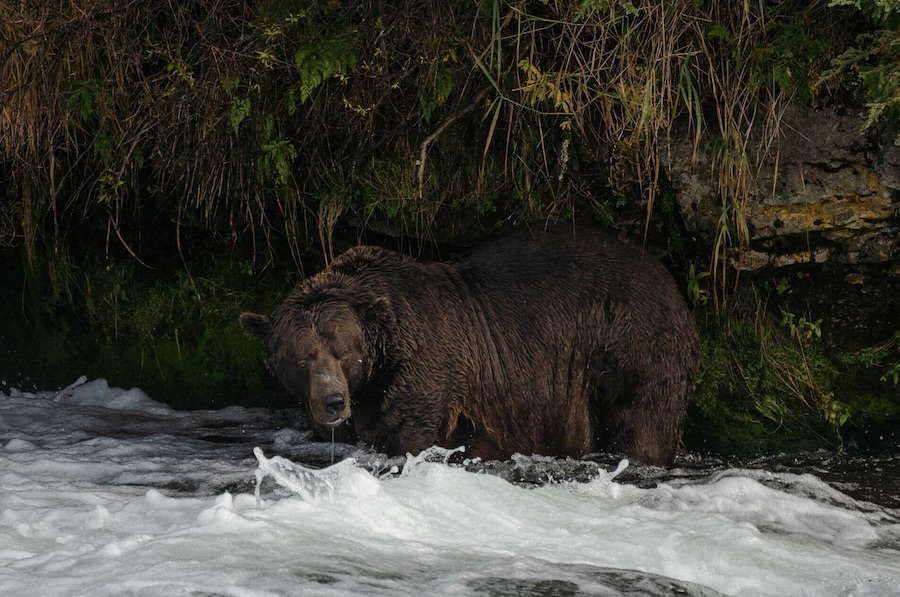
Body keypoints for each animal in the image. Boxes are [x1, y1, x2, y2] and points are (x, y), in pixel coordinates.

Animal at [241, 224, 704, 466]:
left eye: (344, 351)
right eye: (303, 357)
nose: (334, 401)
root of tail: (672, 284)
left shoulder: (426, 369)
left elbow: (411, 435)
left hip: (629, 344)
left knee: (641, 420)